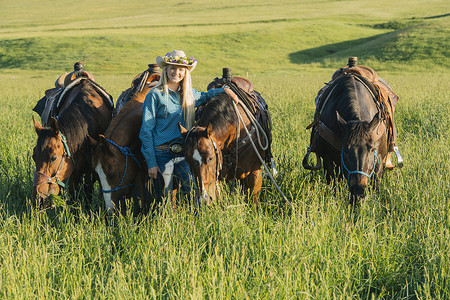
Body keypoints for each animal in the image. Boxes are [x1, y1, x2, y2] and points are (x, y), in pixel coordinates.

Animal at [32, 73, 113, 209]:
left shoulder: (90, 168)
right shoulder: (71, 170)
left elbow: (89, 189)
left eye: (53, 158)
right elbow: (73, 193)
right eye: (34, 157)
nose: (39, 199)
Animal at [178, 75, 270, 206]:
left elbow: (254, 202)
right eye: (188, 161)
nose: (205, 199)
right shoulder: (218, 177)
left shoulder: (254, 173)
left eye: (210, 158)